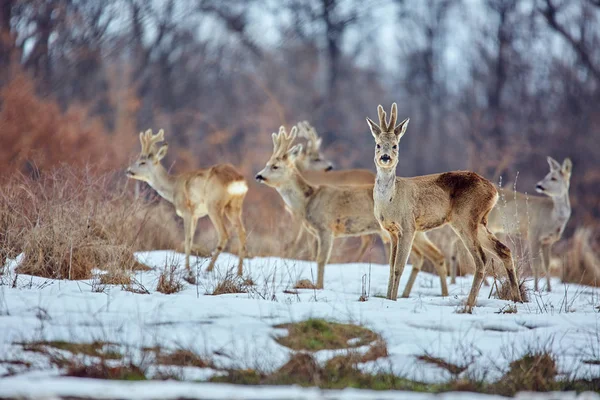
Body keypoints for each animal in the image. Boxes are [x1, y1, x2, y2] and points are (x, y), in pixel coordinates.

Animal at [126, 128, 248, 278]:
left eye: (142, 162)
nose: (128, 170)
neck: (173, 187)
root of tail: (237, 179)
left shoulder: (186, 210)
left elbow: (187, 240)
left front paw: (187, 269)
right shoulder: (195, 215)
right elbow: (190, 240)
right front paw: (188, 267)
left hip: (214, 205)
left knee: (224, 234)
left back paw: (208, 269)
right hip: (234, 206)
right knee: (242, 233)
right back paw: (239, 272)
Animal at [255, 126, 448, 296]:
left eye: (275, 166)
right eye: (267, 163)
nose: (258, 176)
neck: (308, 200)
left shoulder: (326, 228)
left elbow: (321, 259)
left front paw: (318, 286)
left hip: (410, 229)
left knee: (428, 256)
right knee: (428, 256)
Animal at [366, 104, 520, 312]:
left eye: (395, 145)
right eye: (378, 144)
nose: (385, 157)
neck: (391, 199)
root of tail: (494, 191)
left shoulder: (408, 226)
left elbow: (399, 267)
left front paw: (393, 301)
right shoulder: (391, 231)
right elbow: (391, 267)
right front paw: (389, 299)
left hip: (466, 218)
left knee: (481, 259)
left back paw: (468, 306)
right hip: (478, 222)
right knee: (504, 250)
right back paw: (517, 300)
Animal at [450, 155, 572, 290]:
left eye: (553, 178)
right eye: (547, 176)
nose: (539, 186)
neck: (552, 216)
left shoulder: (548, 241)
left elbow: (547, 265)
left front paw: (549, 289)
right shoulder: (533, 233)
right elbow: (535, 264)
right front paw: (536, 289)